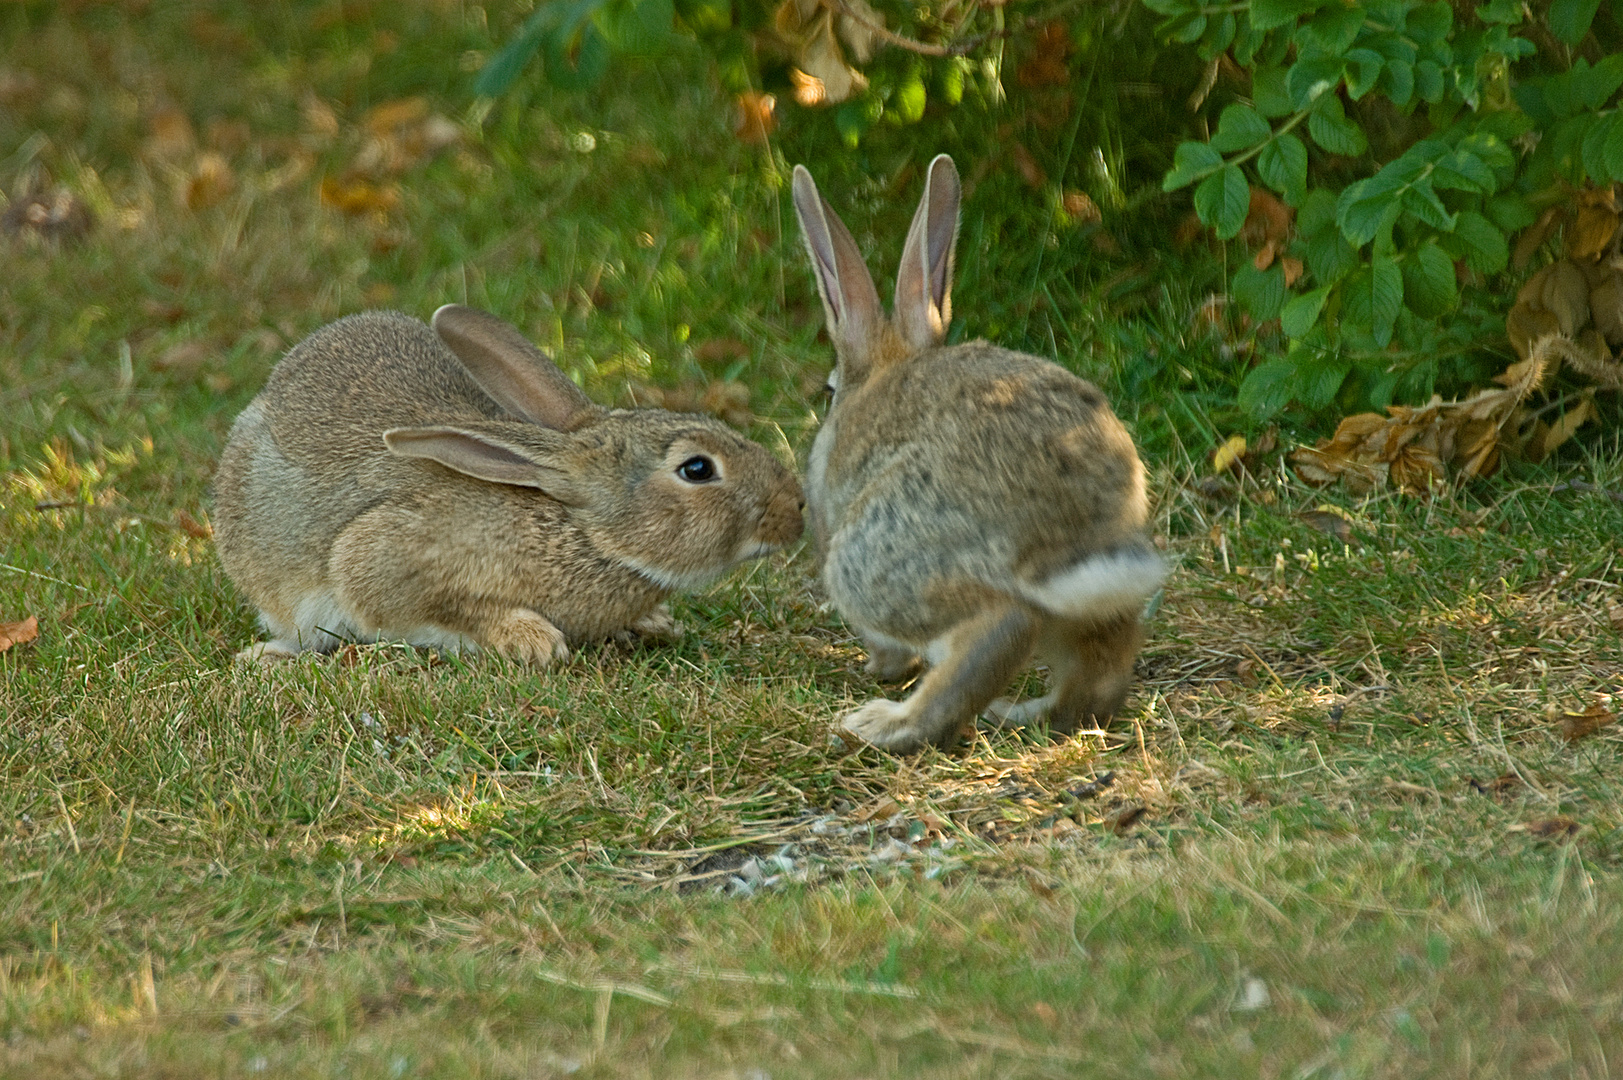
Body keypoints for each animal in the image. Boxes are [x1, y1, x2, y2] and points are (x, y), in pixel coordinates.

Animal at [209, 298, 805, 662]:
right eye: (697, 468)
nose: (797, 509)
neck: (585, 536)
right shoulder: (385, 561)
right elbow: (439, 607)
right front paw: (533, 640)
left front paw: (654, 623)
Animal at [788, 155, 1162, 753]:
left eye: (828, 392)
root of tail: (1066, 529)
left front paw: (880, 668)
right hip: (1093, 606)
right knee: (1095, 683)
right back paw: (1022, 713)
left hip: (875, 557)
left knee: (997, 628)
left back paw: (882, 724)